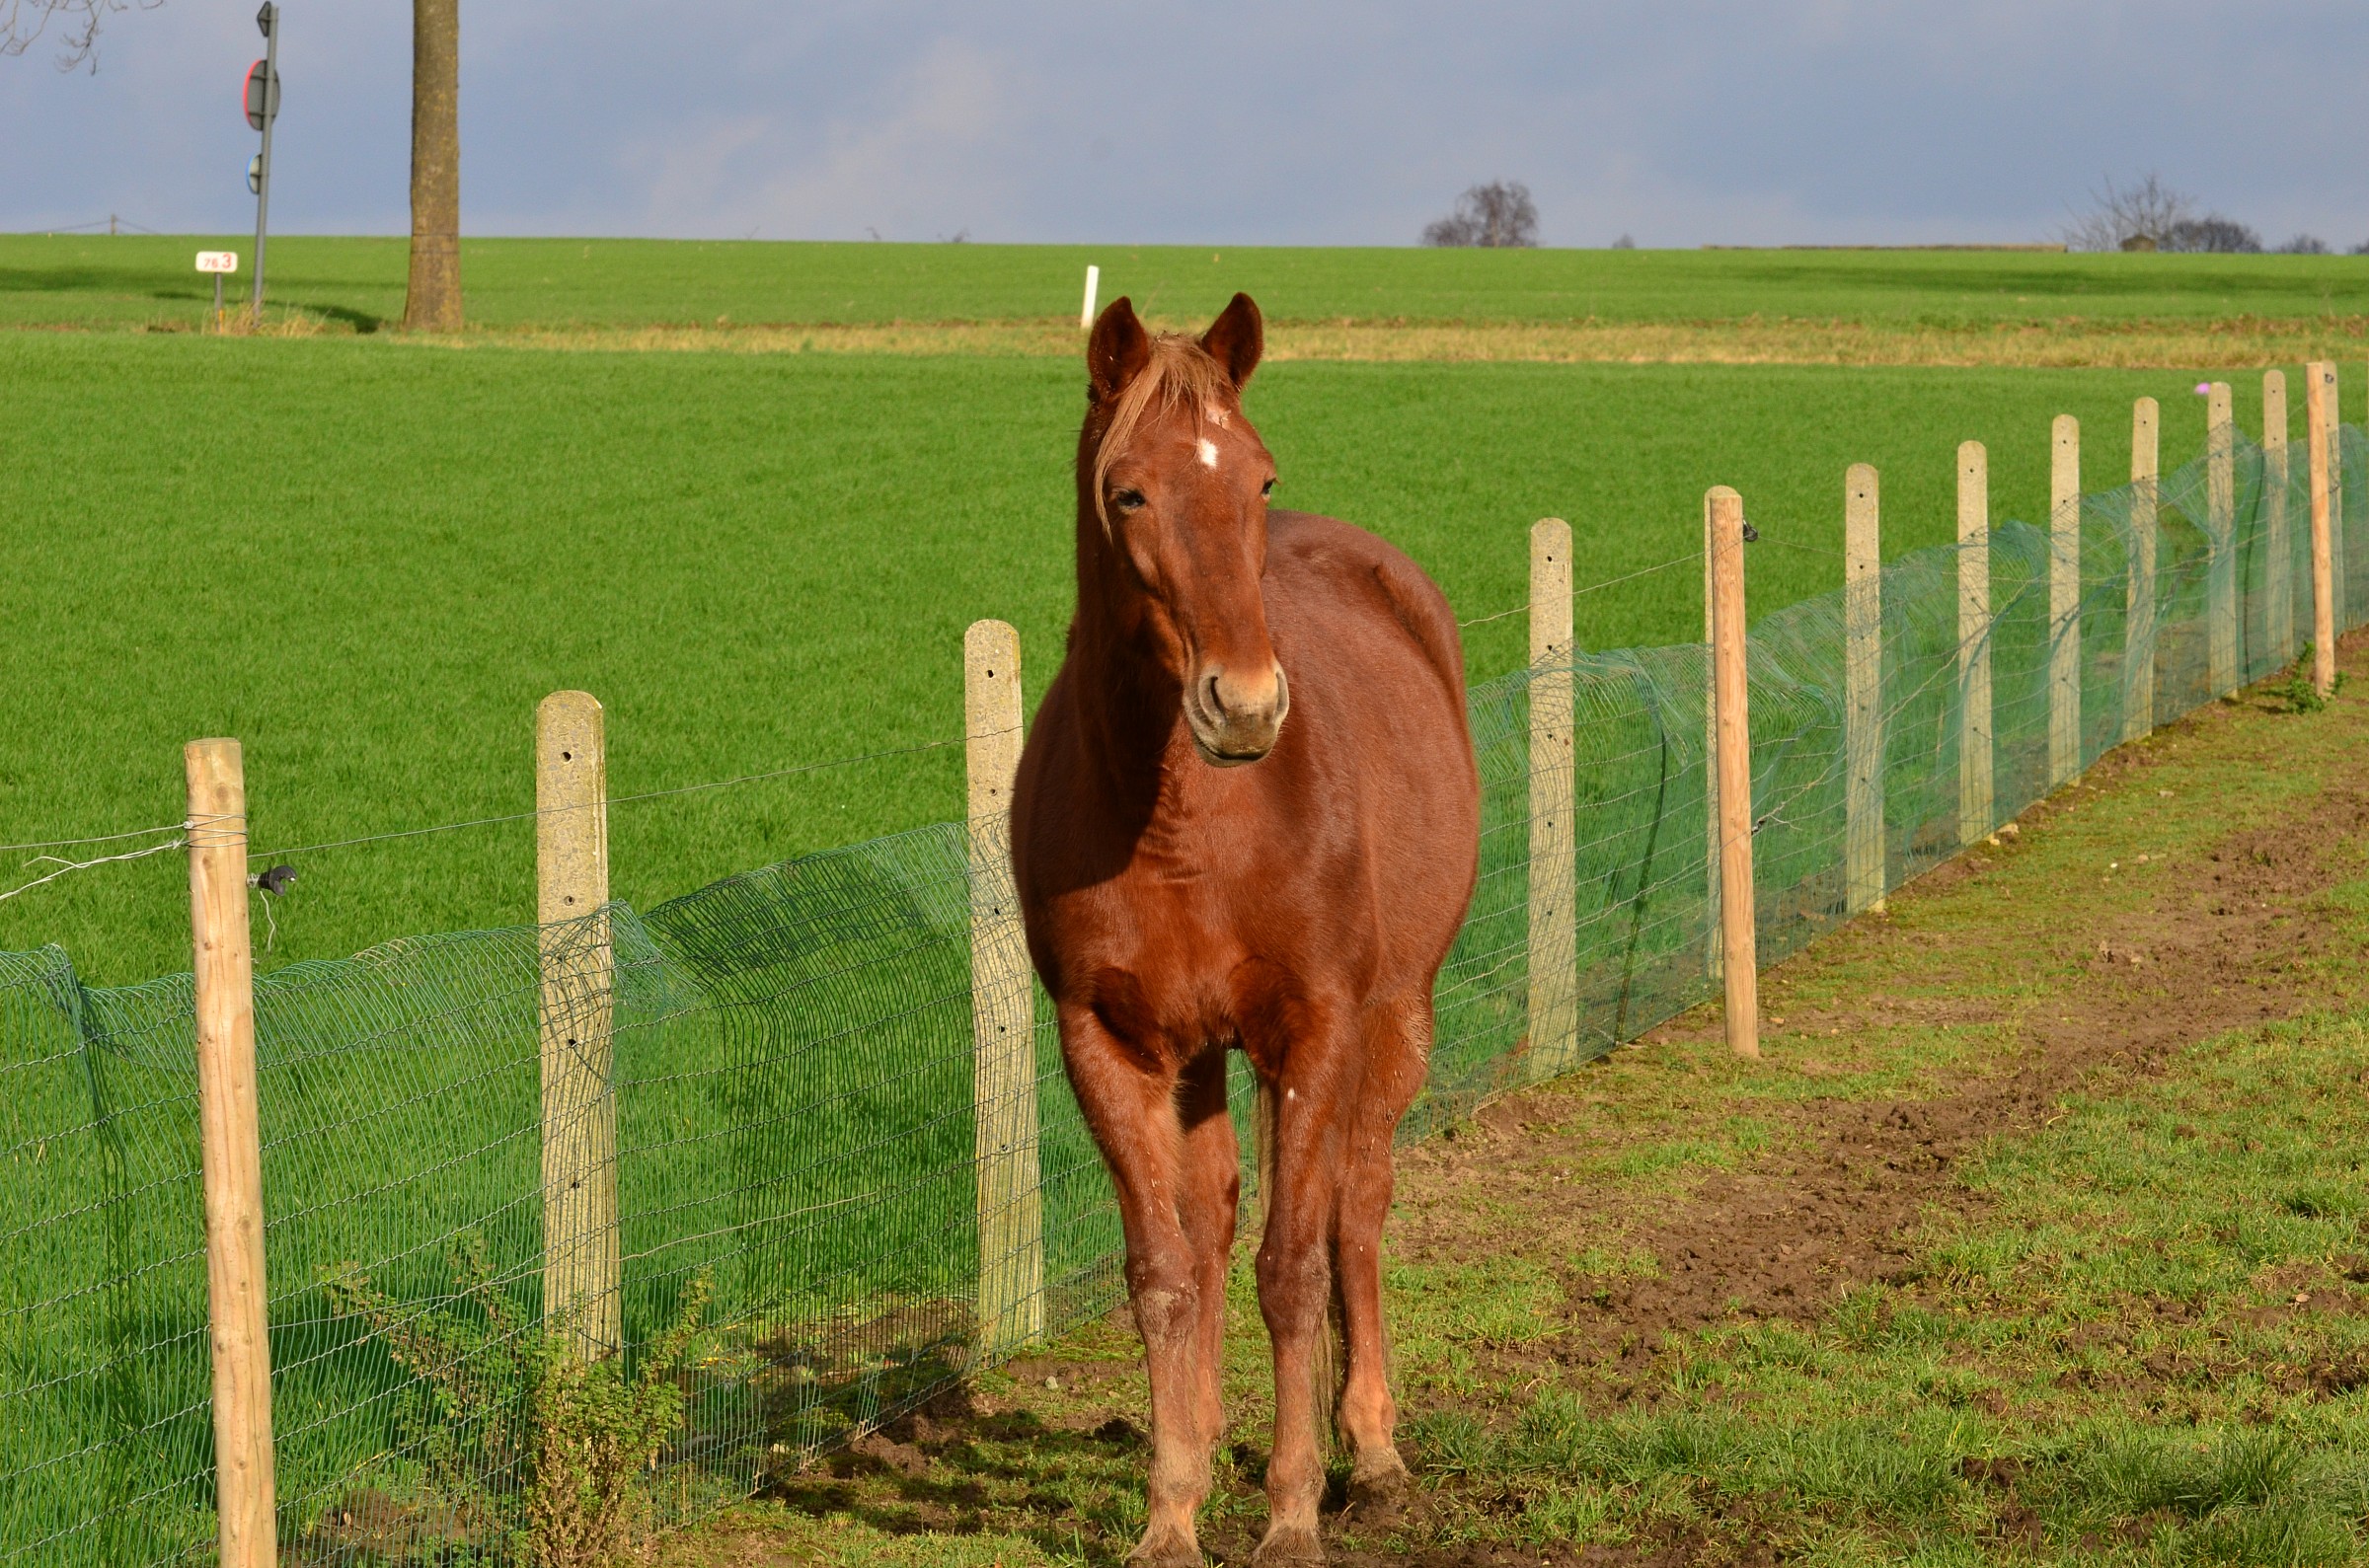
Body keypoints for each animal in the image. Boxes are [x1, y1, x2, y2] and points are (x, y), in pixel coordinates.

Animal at [1011, 292, 1480, 1566]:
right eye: (1129, 492)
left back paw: (1370, 1449)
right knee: (1219, 1212)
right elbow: (1168, 1269)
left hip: (1394, 1016)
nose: (1247, 703)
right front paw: (1173, 1507)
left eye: (1260, 479)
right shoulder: (1109, 1042)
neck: (1186, 816)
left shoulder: (1311, 1026)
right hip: (1204, 1055)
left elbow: (1292, 1266)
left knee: (1356, 1204)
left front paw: (1292, 1509)